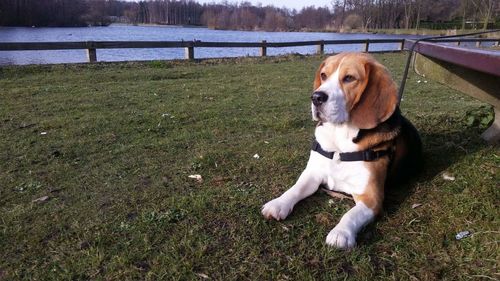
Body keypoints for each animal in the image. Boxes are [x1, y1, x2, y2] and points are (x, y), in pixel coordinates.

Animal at [262, 52, 422, 247]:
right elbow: (295, 188)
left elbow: (351, 214)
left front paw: (341, 233)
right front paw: (278, 204)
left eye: (349, 78)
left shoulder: (372, 198)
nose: (316, 97)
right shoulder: (312, 174)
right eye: (323, 75)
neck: (339, 140)